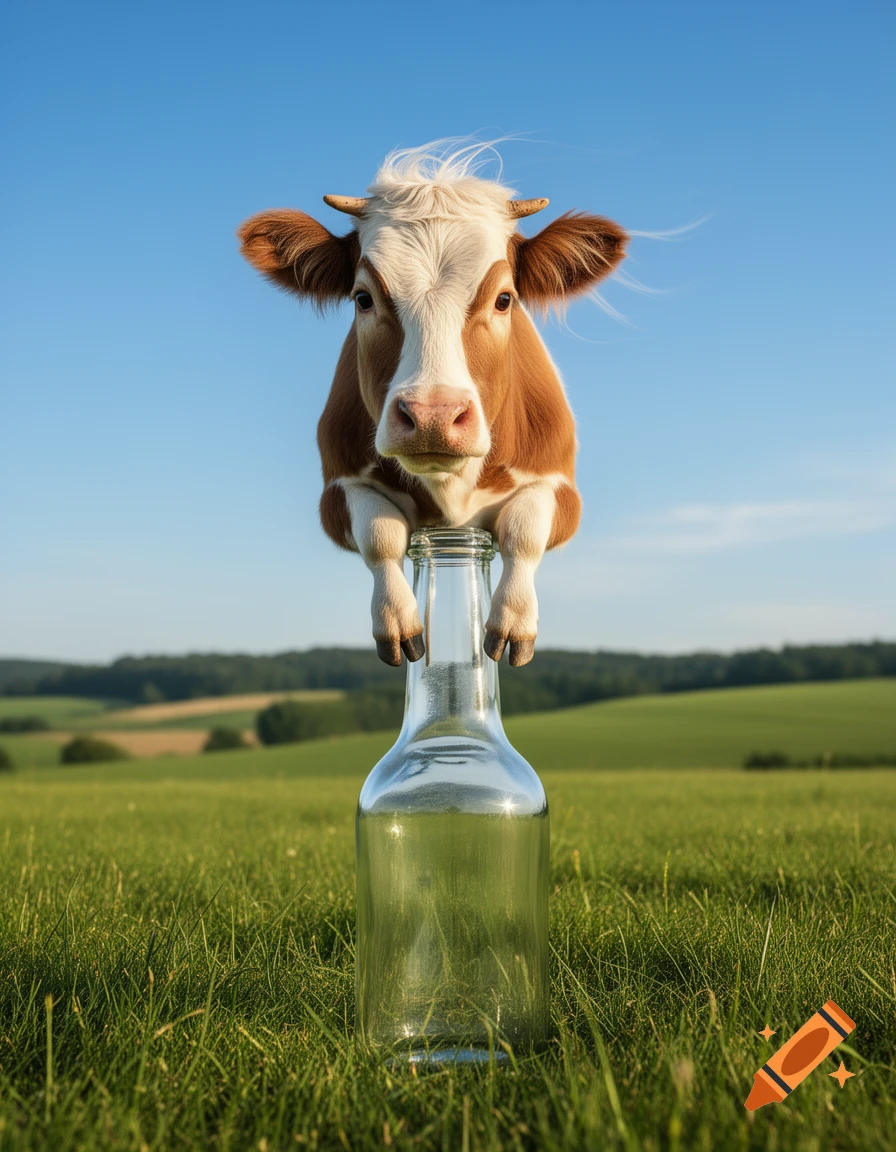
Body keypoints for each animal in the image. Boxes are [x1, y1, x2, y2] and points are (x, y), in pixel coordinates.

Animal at [238, 144, 627, 668]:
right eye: (363, 298)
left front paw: (512, 619)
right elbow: (381, 535)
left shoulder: (560, 483)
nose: (432, 417)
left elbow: (523, 530)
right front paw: (397, 619)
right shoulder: (336, 488)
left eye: (505, 298)